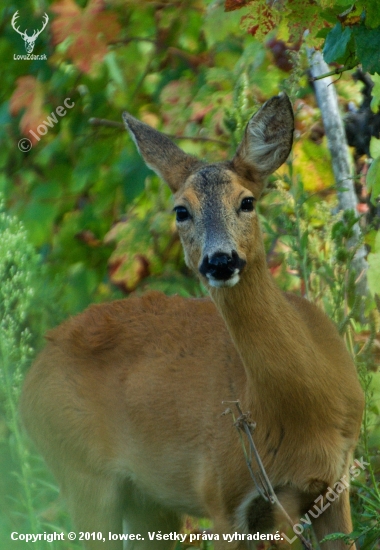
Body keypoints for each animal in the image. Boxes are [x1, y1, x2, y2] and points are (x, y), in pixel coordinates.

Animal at [21, 92, 366, 548]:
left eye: (247, 201)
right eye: (181, 211)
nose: (220, 261)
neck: (304, 413)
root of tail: (35, 368)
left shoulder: (333, 484)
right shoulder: (222, 495)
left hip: (147, 500)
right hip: (81, 470)